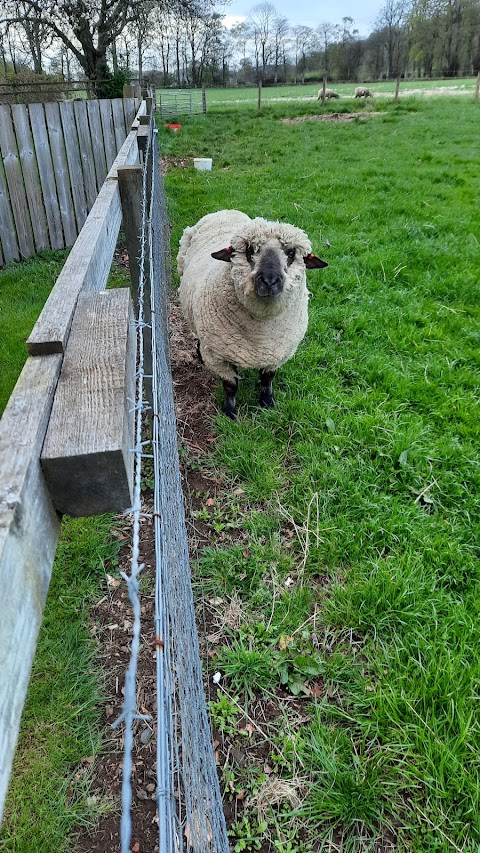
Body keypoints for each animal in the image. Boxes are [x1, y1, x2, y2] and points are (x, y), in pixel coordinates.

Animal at [178, 210, 328, 416]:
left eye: (291, 253)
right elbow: (231, 386)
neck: (260, 335)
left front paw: (267, 402)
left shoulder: (277, 353)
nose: (269, 281)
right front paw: (229, 413)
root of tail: (225, 211)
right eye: (250, 250)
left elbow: (268, 379)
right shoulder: (218, 357)